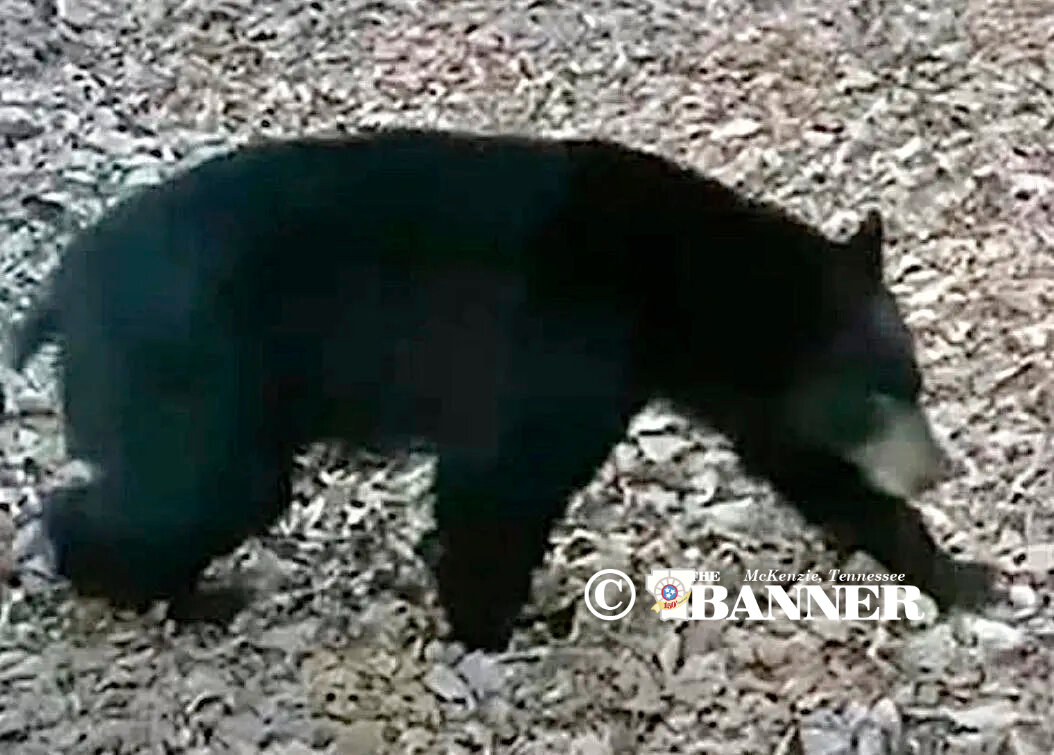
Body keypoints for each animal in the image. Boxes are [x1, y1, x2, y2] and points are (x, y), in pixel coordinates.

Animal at [6, 128, 995, 651]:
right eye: (881, 394)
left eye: (915, 383)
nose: (938, 468)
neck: (674, 289)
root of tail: (59, 294)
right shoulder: (566, 345)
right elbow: (503, 481)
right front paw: (500, 621)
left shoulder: (744, 386)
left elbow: (808, 466)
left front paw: (961, 573)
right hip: (196, 372)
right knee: (194, 488)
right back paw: (159, 589)